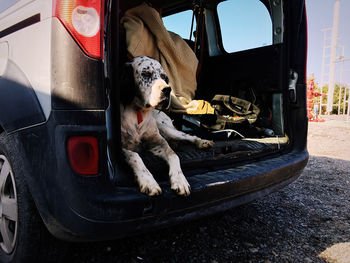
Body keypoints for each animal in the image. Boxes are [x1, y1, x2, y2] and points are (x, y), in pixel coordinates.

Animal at [119, 56, 213, 197]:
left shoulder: (158, 142)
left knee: (189, 136)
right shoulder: (120, 146)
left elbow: (173, 154)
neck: (138, 113)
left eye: (163, 76)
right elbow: (134, 156)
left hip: (166, 129)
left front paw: (180, 180)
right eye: (146, 74)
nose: (168, 90)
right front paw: (148, 181)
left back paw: (203, 142)